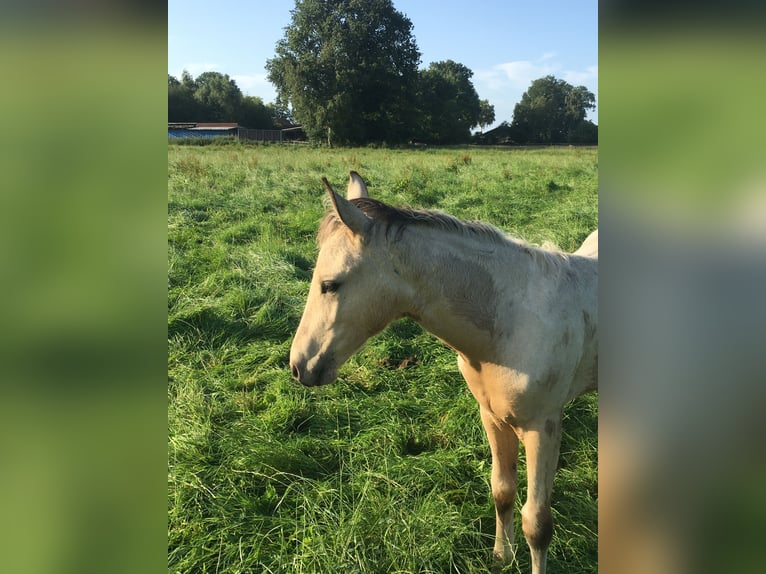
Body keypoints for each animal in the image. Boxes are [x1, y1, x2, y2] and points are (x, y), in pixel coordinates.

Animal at [292, 171, 596, 574]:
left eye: (330, 284)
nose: (299, 365)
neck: (509, 322)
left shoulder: (543, 427)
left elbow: (538, 523)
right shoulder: (492, 417)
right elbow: (502, 490)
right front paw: (501, 556)